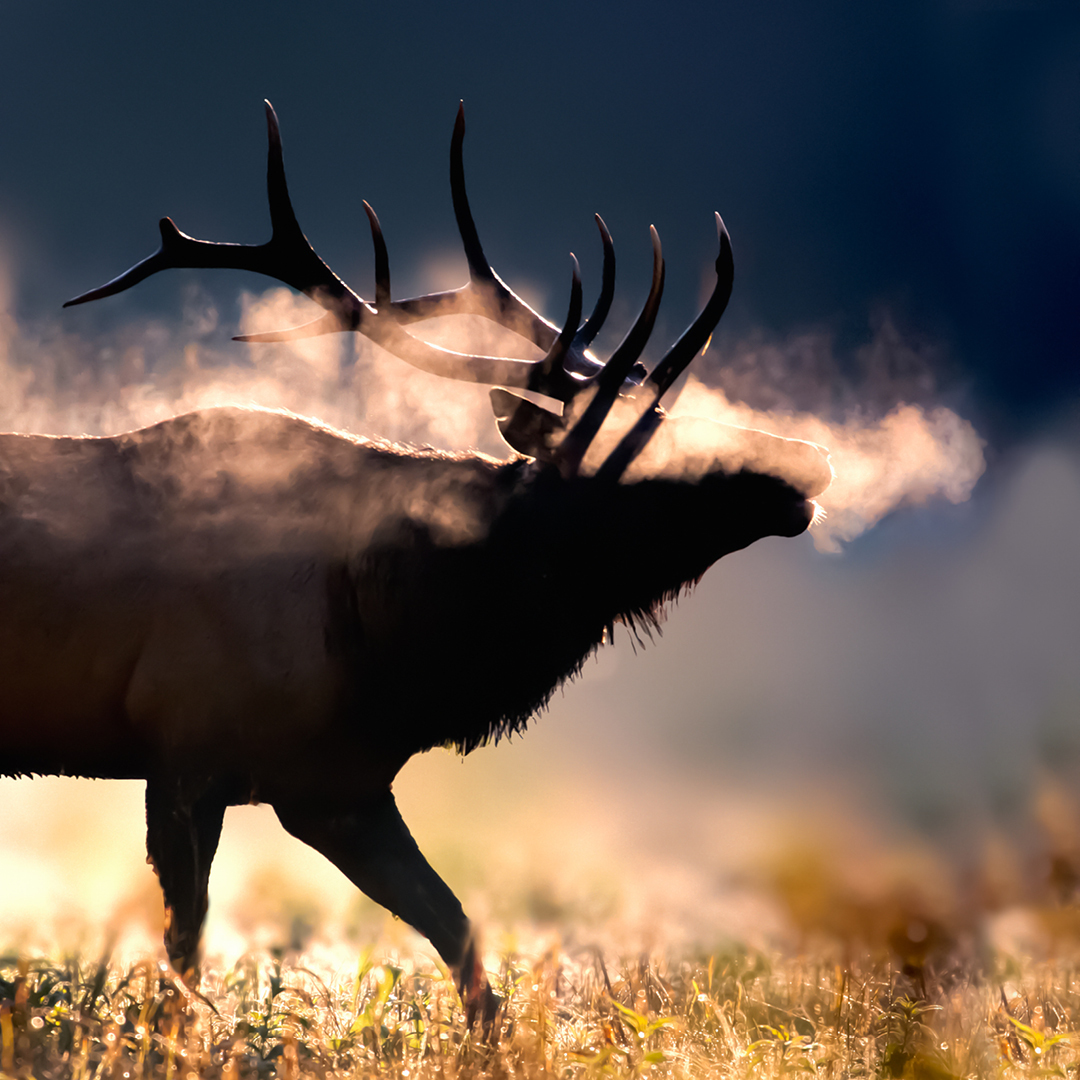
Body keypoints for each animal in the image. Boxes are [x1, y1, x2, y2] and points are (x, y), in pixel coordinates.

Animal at [0, 101, 832, 1025]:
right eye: (644, 448)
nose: (811, 459)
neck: (397, 639)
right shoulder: (185, 749)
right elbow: (186, 949)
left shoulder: (338, 780)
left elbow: (458, 930)